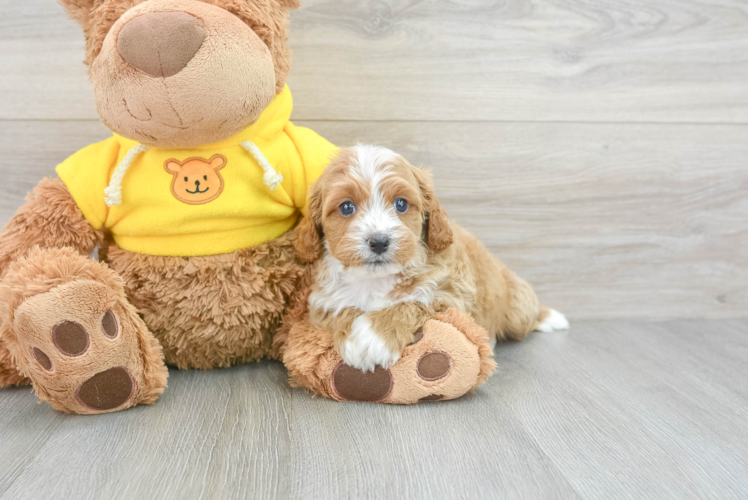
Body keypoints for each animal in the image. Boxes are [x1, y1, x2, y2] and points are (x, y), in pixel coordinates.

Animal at [292, 145, 568, 372]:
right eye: (346, 207)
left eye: (401, 204)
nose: (379, 241)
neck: (375, 279)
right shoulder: (321, 302)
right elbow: (343, 307)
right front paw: (356, 335)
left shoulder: (453, 296)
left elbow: (413, 301)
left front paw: (372, 337)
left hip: (516, 310)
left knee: (526, 318)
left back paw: (549, 317)